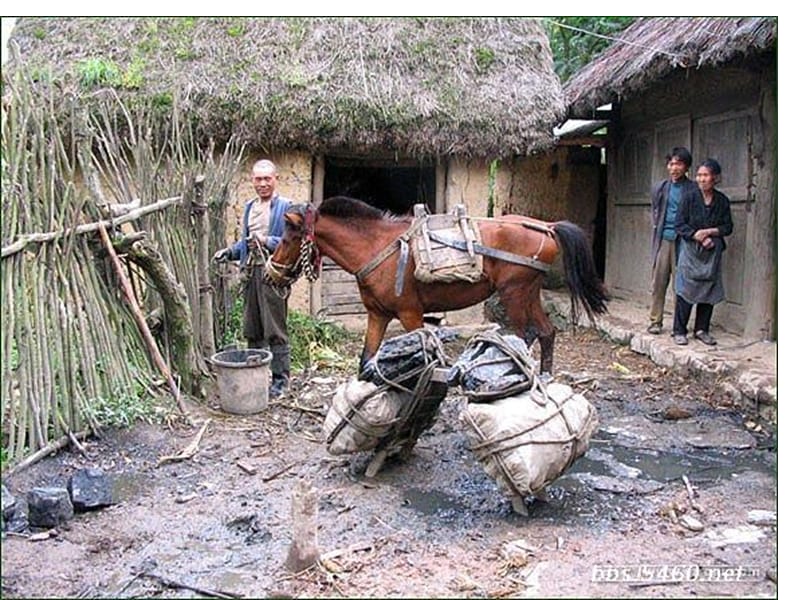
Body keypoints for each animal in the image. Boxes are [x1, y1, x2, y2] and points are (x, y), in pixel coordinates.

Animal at [264, 197, 608, 376]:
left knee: (524, 336)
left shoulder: (410, 315)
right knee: (546, 332)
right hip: (528, 291)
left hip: (514, 293)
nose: (270, 274)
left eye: (289, 237)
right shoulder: (378, 315)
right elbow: (366, 360)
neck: (376, 247)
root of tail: (546, 227)